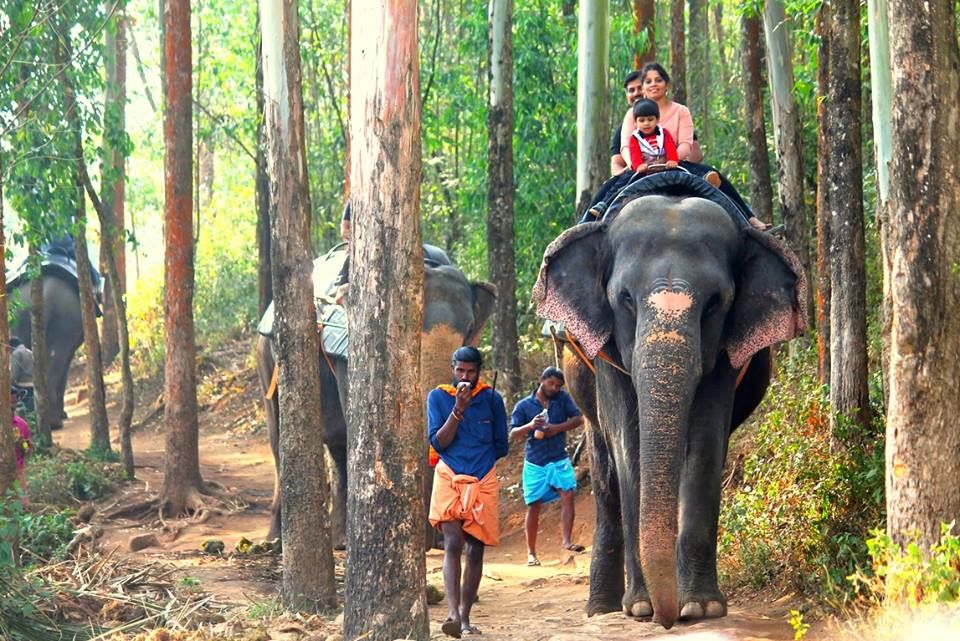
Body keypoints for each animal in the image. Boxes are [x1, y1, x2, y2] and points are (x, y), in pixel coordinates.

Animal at [255, 247, 496, 547]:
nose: (434, 541)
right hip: (266, 355)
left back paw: (340, 540)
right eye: (408, 325)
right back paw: (278, 539)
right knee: (279, 437)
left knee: (337, 444)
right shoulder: (349, 349)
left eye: (470, 328)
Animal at [533, 175, 806, 629]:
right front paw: (641, 607)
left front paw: (702, 608)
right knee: (604, 474)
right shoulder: (606, 349)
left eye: (715, 303)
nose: (667, 619)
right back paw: (602, 608)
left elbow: (706, 441)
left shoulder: (725, 353)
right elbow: (629, 443)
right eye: (625, 298)